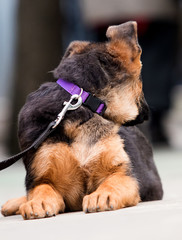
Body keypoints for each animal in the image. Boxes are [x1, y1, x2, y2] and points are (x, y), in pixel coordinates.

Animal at [1, 22, 164, 219]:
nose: (148, 113)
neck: (82, 99)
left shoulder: (125, 175)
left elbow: (113, 181)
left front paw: (102, 195)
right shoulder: (39, 177)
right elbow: (41, 189)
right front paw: (37, 202)